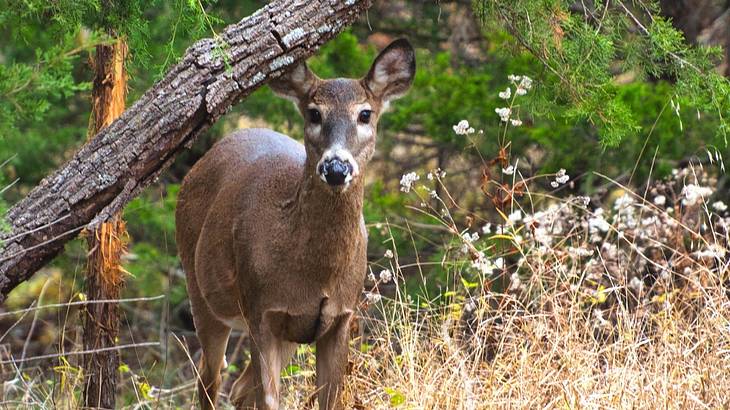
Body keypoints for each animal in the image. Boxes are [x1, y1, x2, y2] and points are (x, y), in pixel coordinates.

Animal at [176, 39, 412, 410]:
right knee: (210, 381)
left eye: (365, 114)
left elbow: (331, 399)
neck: (315, 273)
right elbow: (270, 399)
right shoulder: (261, 311)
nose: (336, 168)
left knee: (238, 388)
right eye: (314, 113)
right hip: (202, 293)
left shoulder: (341, 316)